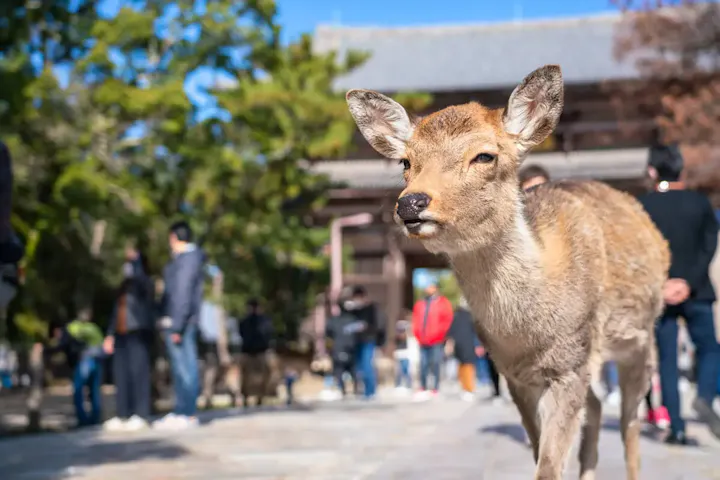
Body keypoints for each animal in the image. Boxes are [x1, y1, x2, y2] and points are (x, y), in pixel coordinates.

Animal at [345, 65, 670, 480]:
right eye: (405, 161)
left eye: (485, 155)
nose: (411, 203)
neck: (527, 334)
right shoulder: (514, 373)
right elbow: (539, 452)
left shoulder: (573, 360)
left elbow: (549, 466)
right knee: (597, 406)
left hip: (641, 338)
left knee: (630, 422)